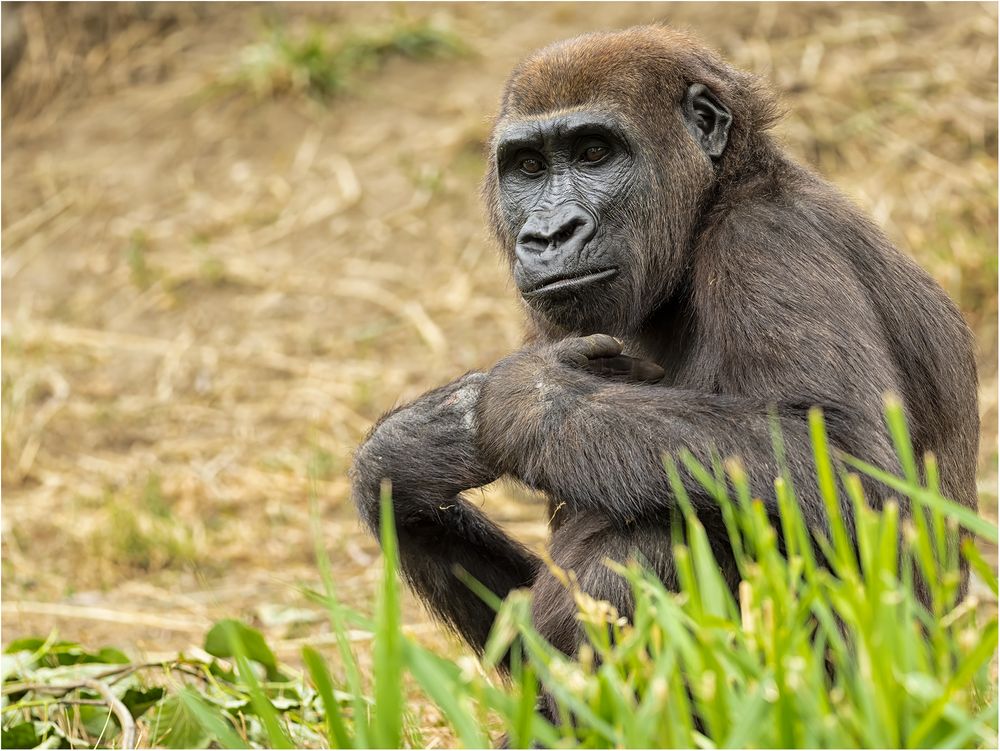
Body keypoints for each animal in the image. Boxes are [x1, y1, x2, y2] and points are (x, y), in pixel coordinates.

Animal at [350, 25, 976, 664]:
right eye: (527, 166)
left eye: (594, 152)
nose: (549, 234)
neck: (713, 200)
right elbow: (519, 633)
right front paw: (408, 452)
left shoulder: (768, 239)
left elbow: (850, 475)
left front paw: (526, 397)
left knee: (645, 545)